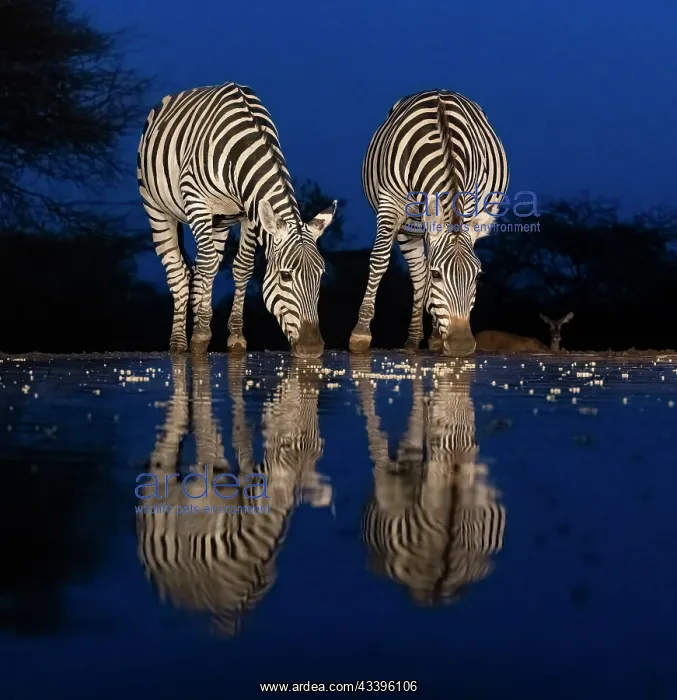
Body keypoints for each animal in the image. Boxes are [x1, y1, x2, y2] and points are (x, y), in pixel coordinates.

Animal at [137, 82, 337, 357]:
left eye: (321, 275)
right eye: (286, 276)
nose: (313, 348)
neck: (245, 147)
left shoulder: (249, 213)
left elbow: (242, 268)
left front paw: (235, 337)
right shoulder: (196, 198)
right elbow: (209, 264)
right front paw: (201, 335)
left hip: (219, 221)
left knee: (200, 267)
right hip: (156, 207)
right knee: (181, 270)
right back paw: (179, 343)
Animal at [350, 89, 509, 356]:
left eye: (477, 277)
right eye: (437, 275)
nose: (462, 346)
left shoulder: (468, 202)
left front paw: (437, 333)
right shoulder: (391, 204)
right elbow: (380, 260)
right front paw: (360, 334)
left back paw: (432, 337)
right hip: (410, 227)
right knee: (418, 273)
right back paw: (414, 339)